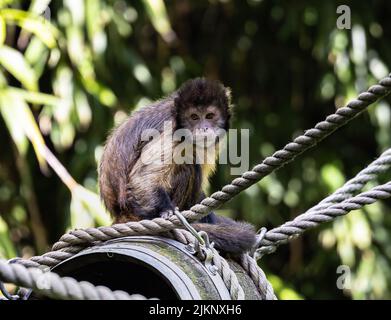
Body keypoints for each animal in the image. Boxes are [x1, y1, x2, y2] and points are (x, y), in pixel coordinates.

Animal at [99, 78, 258, 255]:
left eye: (209, 116)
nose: (203, 128)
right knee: (190, 164)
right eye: (194, 117)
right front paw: (165, 211)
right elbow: (142, 178)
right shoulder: (173, 130)